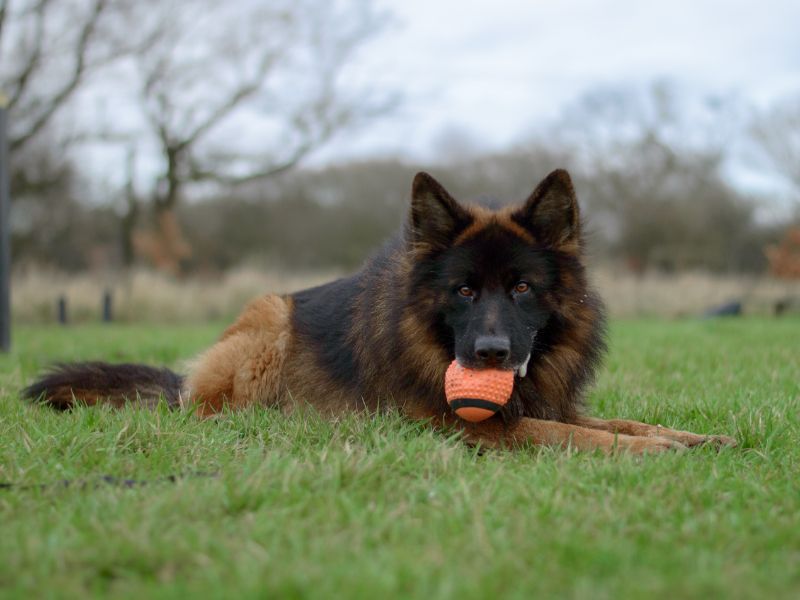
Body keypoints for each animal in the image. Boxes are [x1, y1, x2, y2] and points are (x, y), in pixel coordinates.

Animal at [23, 171, 736, 452]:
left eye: (523, 288)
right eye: (464, 291)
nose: (491, 356)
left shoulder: (548, 401)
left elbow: (621, 423)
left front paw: (696, 439)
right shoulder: (475, 429)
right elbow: (578, 438)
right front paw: (657, 454)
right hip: (267, 322)